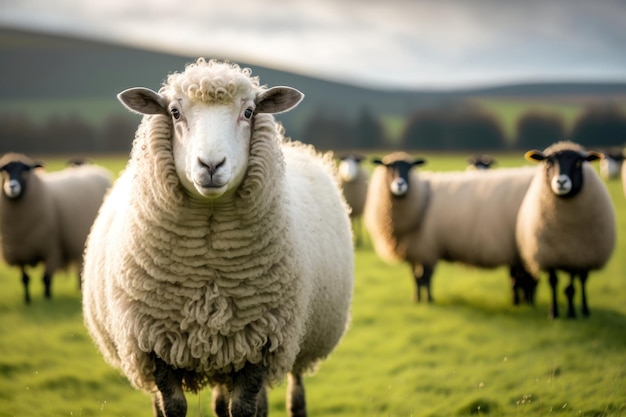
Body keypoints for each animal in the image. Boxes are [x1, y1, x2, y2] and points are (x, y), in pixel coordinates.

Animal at [0, 153, 111, 302]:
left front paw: (47, 298)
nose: (12, 186)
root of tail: (96, 169)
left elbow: (46, 278)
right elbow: (25, 279)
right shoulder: (19, 252)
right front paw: (27, 300)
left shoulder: (51, 248)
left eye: (25, 170)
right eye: (4, 171)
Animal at [81, 58, 356, 416]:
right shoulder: (152, 344)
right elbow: (172, 407)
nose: (211, 165)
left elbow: (243, 408)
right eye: (174, 112)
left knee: (292, 388)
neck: (209, 265)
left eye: (249, 112)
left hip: (294, 341)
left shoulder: (262, 341)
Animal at [366, 153, 536, 306]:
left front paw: (429, 300)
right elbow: (416, 278)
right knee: (523, 279)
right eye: (388, 167)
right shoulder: (415, 249)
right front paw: (417, 299)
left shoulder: (426, 248)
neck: (422, 197)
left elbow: (425, 277)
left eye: (410, 167)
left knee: (525, 279)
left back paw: (526, 303)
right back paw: (523, 302)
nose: (400, 184)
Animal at [512, 141, 616, 318]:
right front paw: (553, 312)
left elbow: (570, 288)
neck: (565, 229)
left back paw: (585, 309)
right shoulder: (549, 254)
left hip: (586, 255)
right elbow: (553, 283)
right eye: (548, 162)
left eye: (579, 163)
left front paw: (572, 313)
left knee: (583, 280)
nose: (561, 182)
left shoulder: (574, 255)